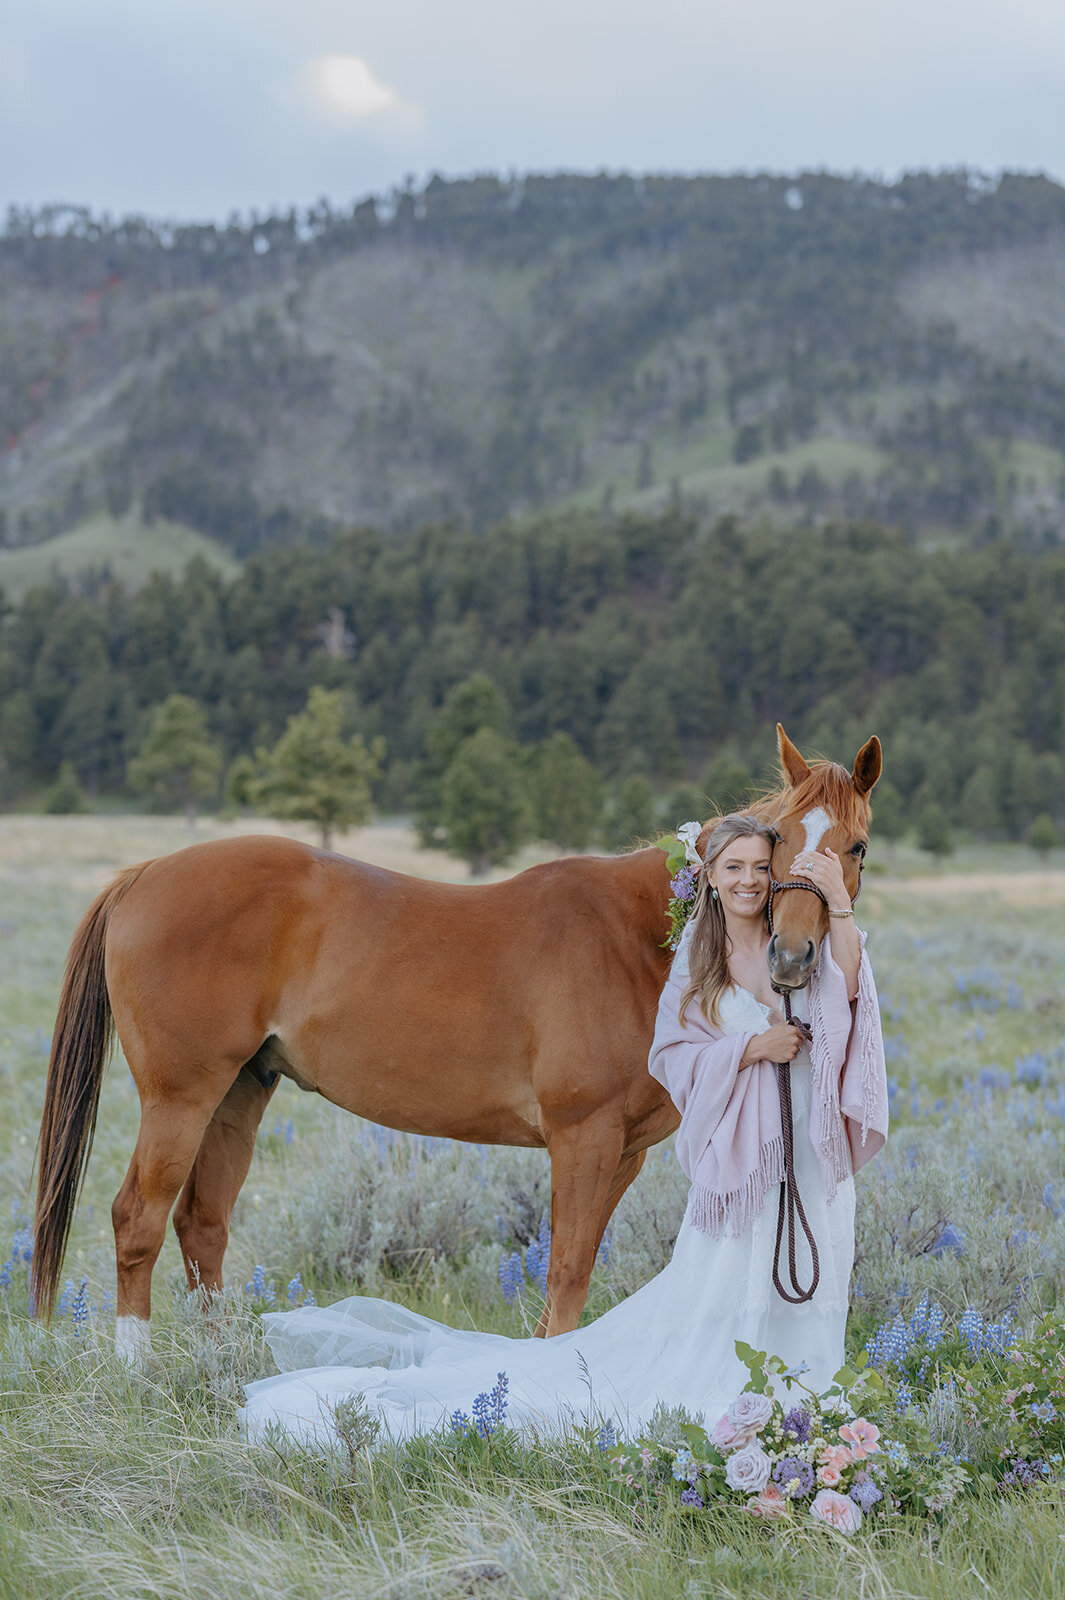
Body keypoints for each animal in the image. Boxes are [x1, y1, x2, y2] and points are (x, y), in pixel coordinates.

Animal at [33, 726, 876, 1350]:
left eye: (856, 846)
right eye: (774, 840)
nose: (791, 956)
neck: (641, 937)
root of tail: (143, 874)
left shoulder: (623, 1152)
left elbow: (574, 1269)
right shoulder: (583, 1138)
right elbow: (566, 1268)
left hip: (240, 1090)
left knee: (201, 1224)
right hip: (180, 1096)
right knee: (138, 1219)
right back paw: (138, 1373)